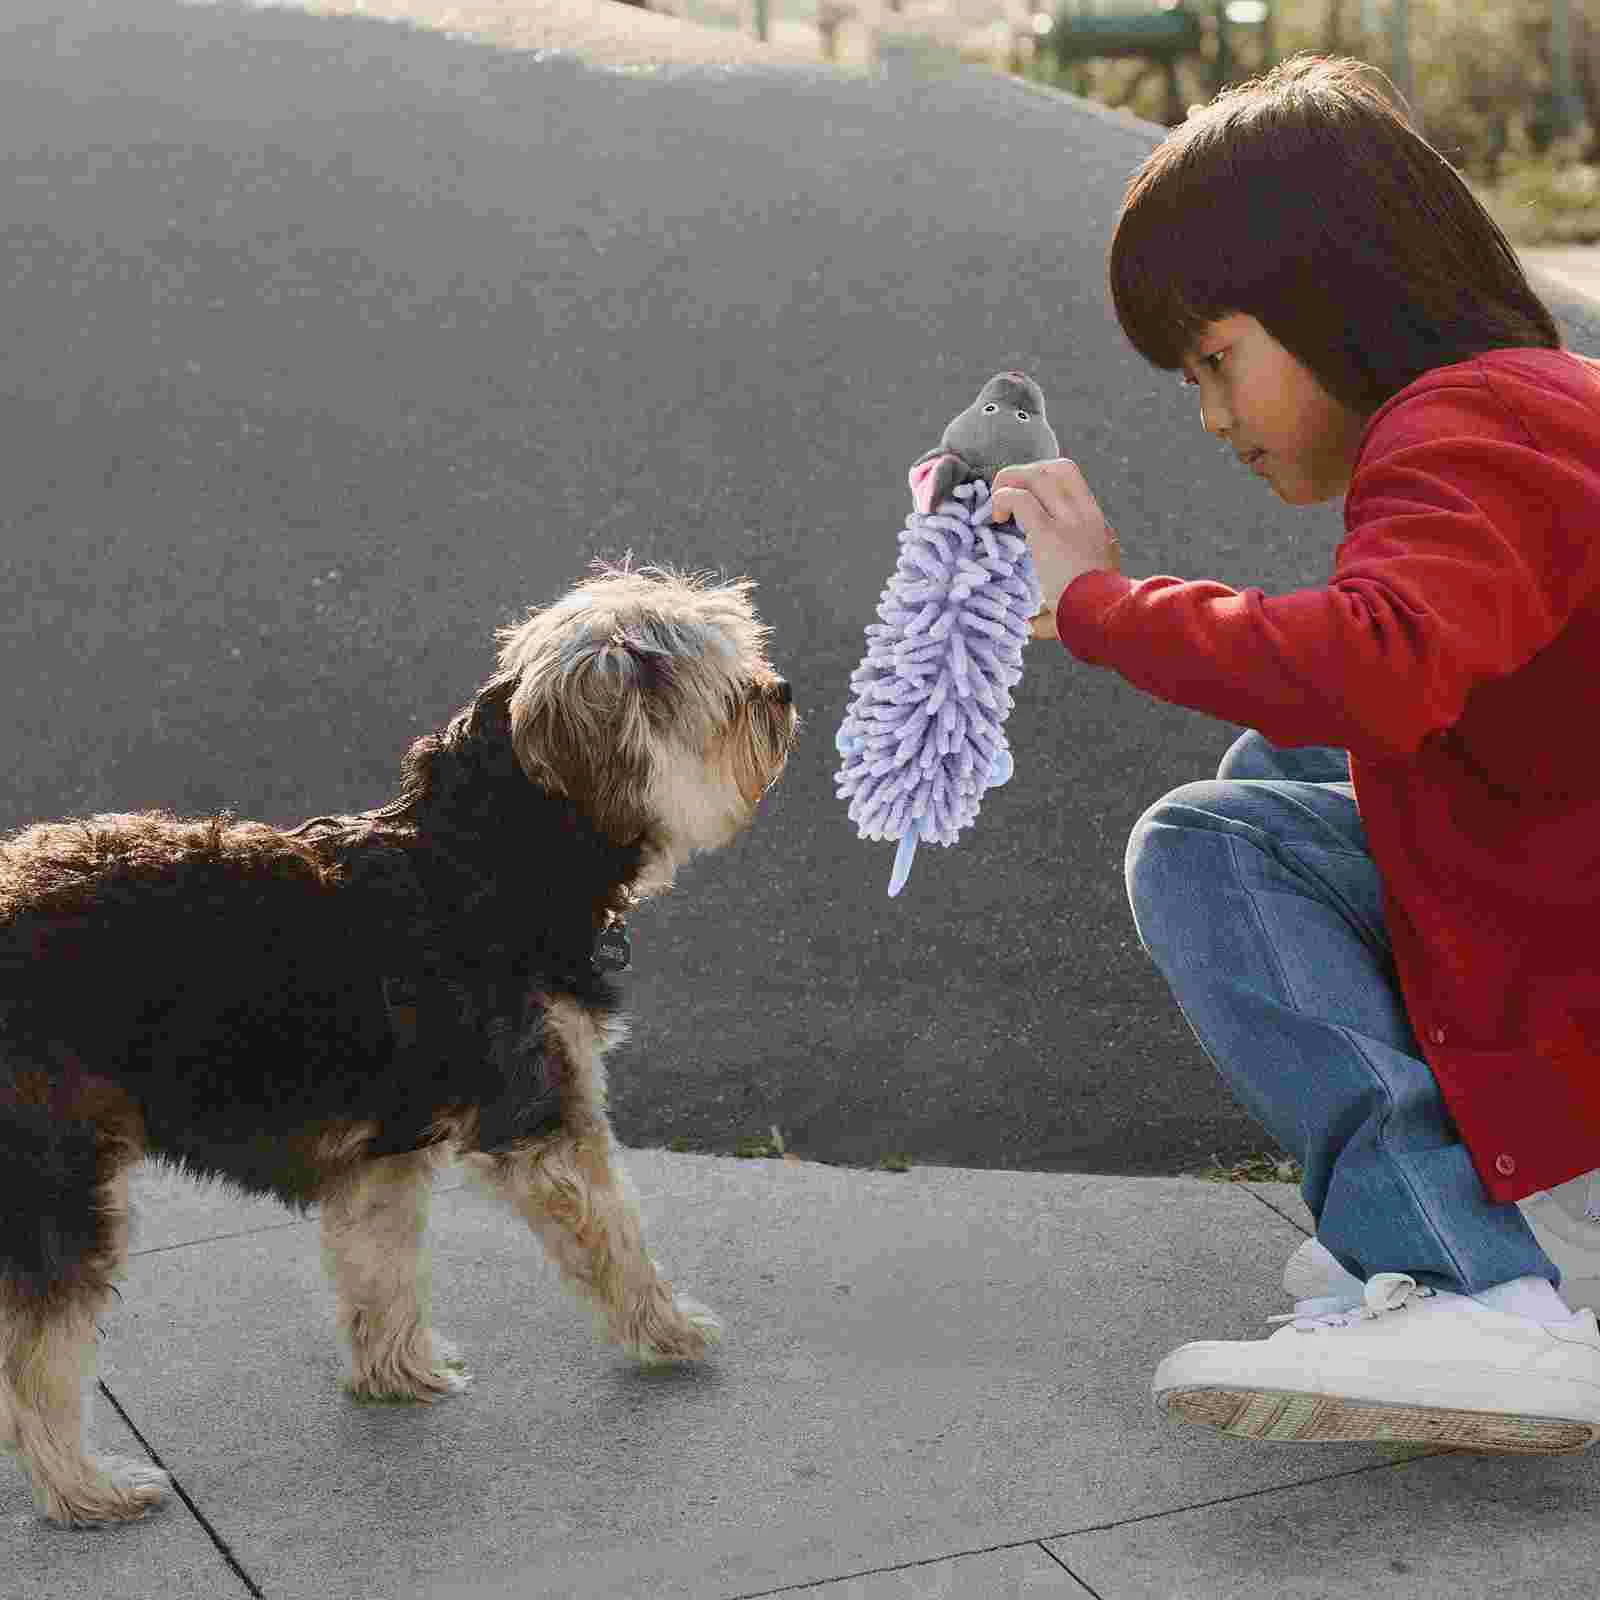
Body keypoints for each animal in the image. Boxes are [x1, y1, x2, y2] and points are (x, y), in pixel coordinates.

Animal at [0, 563, 800, 1523]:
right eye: (714, 678)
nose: (780, 692)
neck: (491, 859)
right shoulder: (544, 1124)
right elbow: (616, 1236)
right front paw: (668, 1329)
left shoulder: (382, 1158)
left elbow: (380, 1273)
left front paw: (397, 1374)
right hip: (56, 1178)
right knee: (35, 1361)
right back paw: (84, 1488)